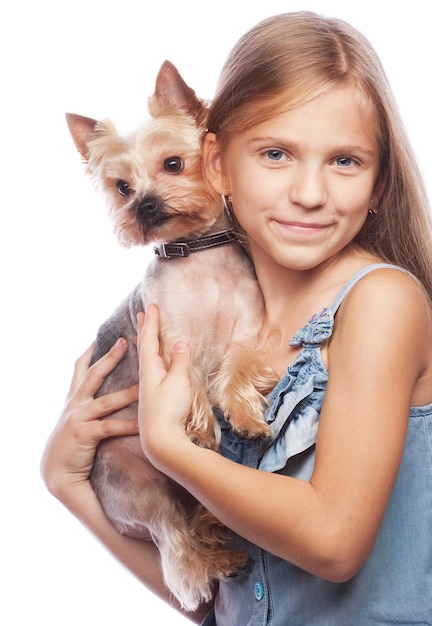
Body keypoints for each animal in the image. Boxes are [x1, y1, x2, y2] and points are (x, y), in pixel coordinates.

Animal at [66, 59, 276, 608]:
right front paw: (201, 429)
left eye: (174, 164)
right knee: (179, 555)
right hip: (145, 489)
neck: (198, 255)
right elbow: (193, 382)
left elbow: (234, 371)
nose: (144, 206)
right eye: (121, 187)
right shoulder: (169, 340)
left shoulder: (245, 331)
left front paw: (245, 417)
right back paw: (219, 560)